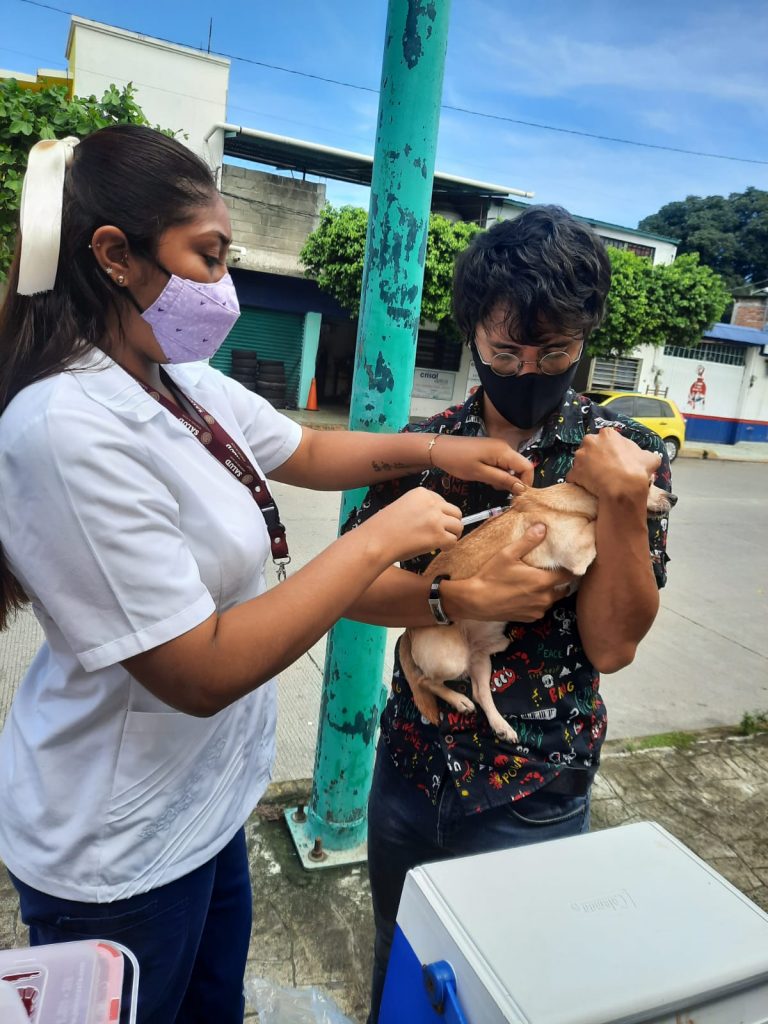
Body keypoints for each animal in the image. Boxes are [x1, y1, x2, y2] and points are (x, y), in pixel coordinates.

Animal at [399, 479, 675, 745]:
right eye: (646, 484)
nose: (674, 497)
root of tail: (407, 633)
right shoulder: (576, 548)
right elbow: (595, 527)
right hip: (451, 660)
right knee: (425, 681)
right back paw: (458, 700)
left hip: (481, 657)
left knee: (480, 692)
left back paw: (501, 726)